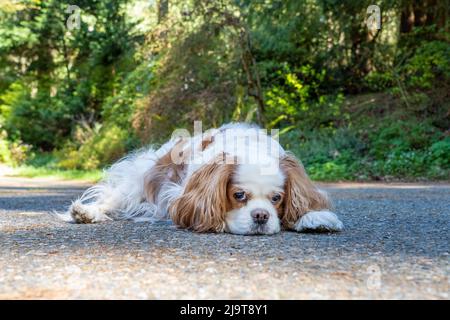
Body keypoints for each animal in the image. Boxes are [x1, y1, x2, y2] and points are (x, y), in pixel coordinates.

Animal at [65, 122, 342, 235]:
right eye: (238, 195)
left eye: (277, 198)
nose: (261, 216)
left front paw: (315, 217)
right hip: (138, 178)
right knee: (114, 199)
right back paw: (87, 213)